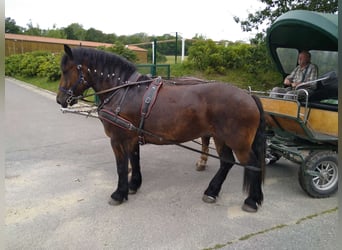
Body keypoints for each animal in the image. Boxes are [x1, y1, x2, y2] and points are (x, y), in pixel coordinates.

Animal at [56, 45, 266, 213]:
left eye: (66, 71)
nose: (60, 99)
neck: (123, 90)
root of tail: (249, 96)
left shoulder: (117, 139)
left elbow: (121, 166)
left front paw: (119, 194)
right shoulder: (132, 137)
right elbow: (135, 160)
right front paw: (133, 185)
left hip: (238, 142)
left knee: (253, 164)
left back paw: (251, 200)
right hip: (220, 137)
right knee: (226, 162)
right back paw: (212, 191)